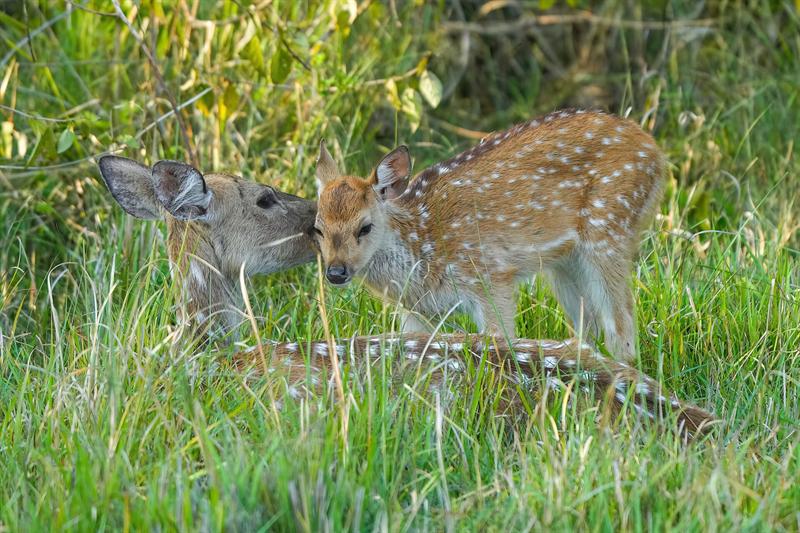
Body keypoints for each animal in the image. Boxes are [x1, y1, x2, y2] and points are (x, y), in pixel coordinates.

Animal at [312, 109, 666, 361]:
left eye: (365, 226)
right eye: (317, 228)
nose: (336, 271)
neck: (424, 247)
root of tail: (655, 150)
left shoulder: (490, 278)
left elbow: (502, 342)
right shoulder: (413, 311)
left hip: (609, 229)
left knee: (622, 331)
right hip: (565, 263)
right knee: (587, 331)